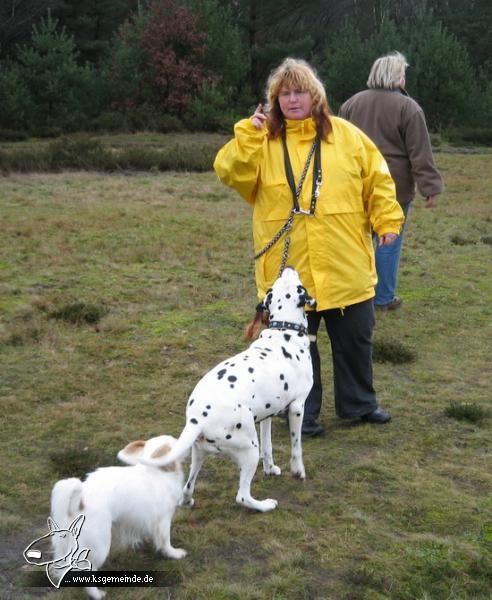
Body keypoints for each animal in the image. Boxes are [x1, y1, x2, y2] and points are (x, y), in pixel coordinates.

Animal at [50, 436, 185, 600]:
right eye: (176, 444)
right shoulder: (163, 520)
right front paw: (174, 554)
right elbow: (166, 541)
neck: (157, 472)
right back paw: (97, 594)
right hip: (99, 546)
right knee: (87, 572)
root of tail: (80, 502)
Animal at [142, 268, 318, 510]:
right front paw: (298, 471)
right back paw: (264, 505)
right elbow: (296, 445)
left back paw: (188, 500)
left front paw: (270, 468)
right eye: (298, 285)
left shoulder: (267, 415)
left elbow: (268, 447)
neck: (284, 330)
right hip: (248, 449)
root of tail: (196, 419)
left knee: (186, 489)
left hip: (199, 454)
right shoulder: (297, 407)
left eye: (277, 283)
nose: (288, 267)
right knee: (242, 496)